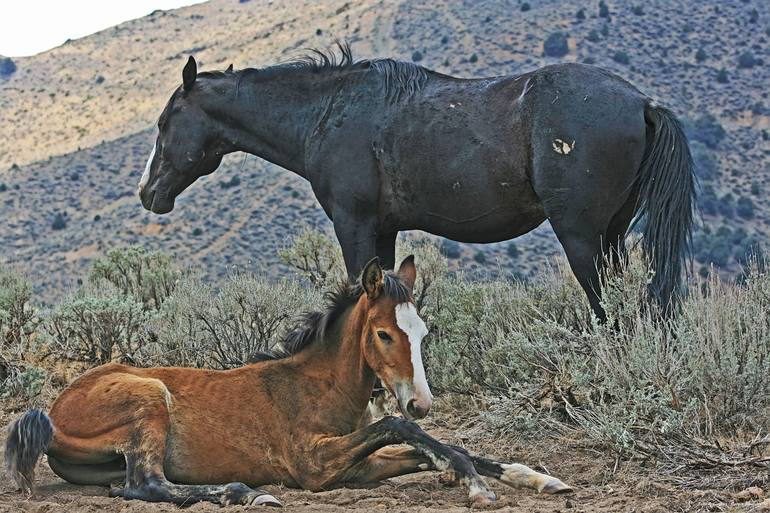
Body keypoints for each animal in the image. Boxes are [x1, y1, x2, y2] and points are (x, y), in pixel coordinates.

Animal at [6, 258, 568, 506]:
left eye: (423, 331)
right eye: (384, 333)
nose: (421, 402)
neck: (318, 386)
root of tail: (52, 412)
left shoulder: (356, 468)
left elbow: (436, 447)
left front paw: (533, 477)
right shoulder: (314, 466)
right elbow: (400, 429)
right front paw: (472, 484)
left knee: (127, 484)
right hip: (150, 398)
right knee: (147, 484)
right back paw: (244, 493)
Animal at [140, 44, 696, 318]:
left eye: (165, 122)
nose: (148, 193)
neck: (328, 112)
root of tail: (641, 102)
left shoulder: (354, 225)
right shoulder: (383, 230)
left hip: (581, 237)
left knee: (608, 308)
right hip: (612, 234)